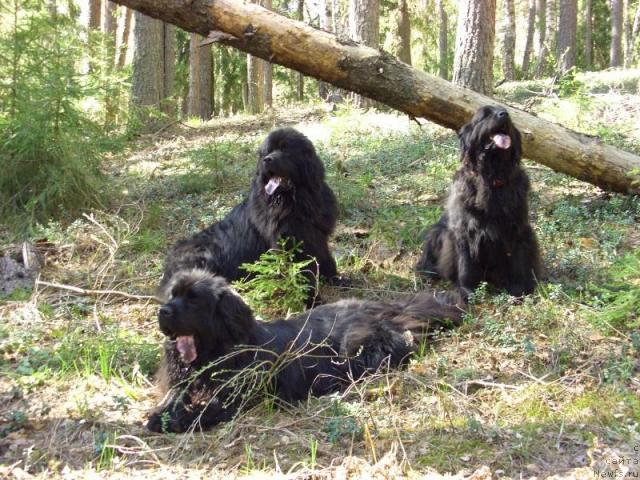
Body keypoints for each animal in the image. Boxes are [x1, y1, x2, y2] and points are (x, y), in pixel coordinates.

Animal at [148, 268, 462, 434]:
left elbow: (209, 408)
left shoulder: (238, 395)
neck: (216, 352)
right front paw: (162, 413)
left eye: (193, 300)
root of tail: (384, 308)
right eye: (172, 295)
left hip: (356, 347)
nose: (162, 311)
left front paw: (176, 420)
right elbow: (174, 397)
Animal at [159, 127, 340, 304]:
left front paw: (336, 279)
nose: (267, 160)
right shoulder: (290, 244)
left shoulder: (317, 235)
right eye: (268, 151)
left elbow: (326, 258)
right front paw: (313, 300)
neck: (296, 202)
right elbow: (303, 273)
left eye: (285, 149)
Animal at [418, 107, 544, 298]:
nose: (504, 114)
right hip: (437, 232)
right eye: (485, 115)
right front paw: (468, 291)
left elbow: (518, 261)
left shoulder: (518, 229)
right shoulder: (464, 232)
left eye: (505, 111)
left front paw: (517, 290)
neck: (491, 178)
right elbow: (466, 265)